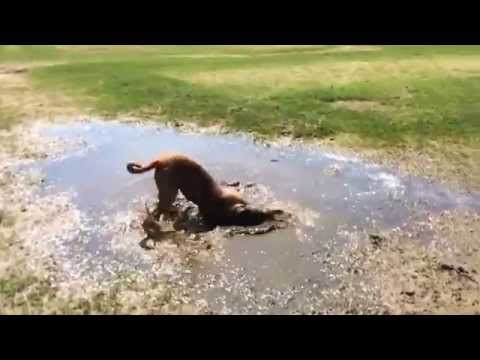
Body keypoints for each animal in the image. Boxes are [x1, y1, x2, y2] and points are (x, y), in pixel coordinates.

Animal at [126, 153, 284, 228]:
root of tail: (159, 161)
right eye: (255, 216)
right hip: (170, 189)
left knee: (160, 206)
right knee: (162, 206)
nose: (267, 213)